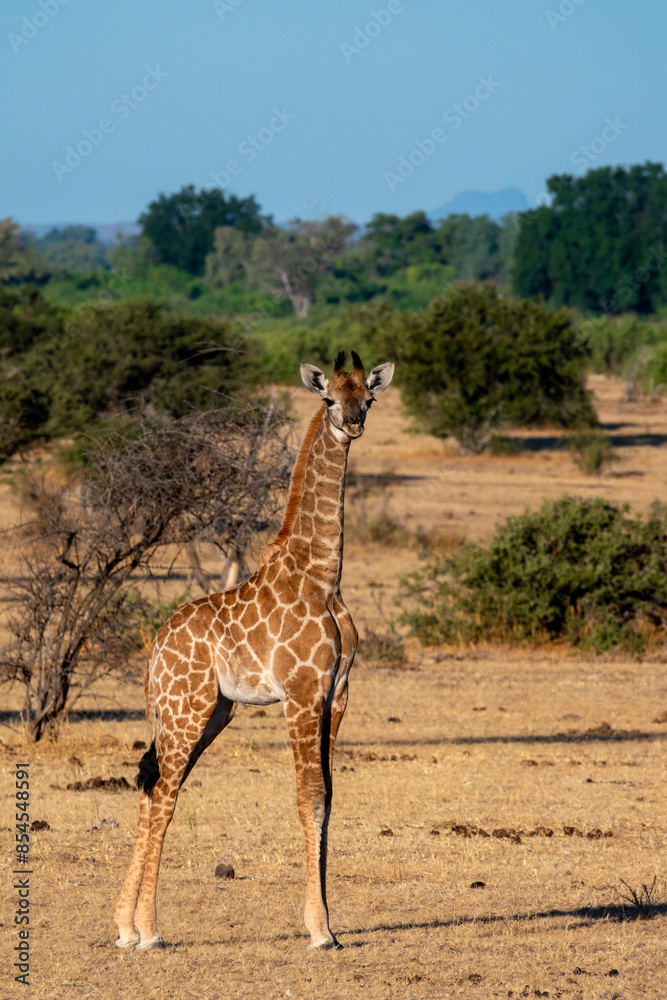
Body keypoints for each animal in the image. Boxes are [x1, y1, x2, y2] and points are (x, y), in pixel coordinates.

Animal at [114, 350, 394, 951]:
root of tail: (153, 652)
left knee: (153, 786)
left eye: (368, 397)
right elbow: (309, 796)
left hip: (211, 712)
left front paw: (327, 923)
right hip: (187, 708)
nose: (352, 423)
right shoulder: (301, 691)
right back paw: (148, 931)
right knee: (164, 793)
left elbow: (329, 799)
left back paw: (125, 927)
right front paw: (321, 931)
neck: (323, 576)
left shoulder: (337, 693)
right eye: (329, 398)